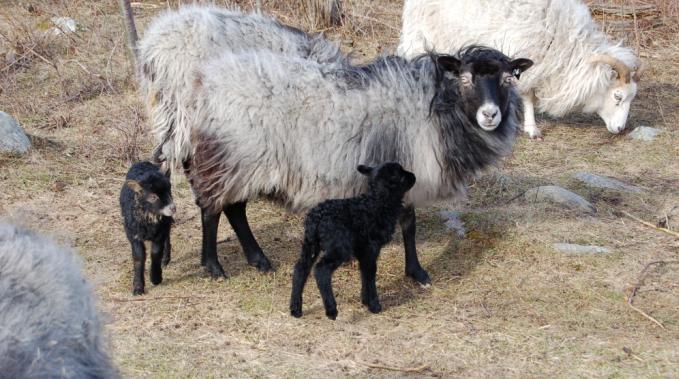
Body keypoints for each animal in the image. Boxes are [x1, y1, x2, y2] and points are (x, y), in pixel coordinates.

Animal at [121, 162, 177, 296]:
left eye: (169, 190)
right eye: (153, 197)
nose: (172, 208)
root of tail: (143, 162)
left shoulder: (159, 233)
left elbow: (156, 253)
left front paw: (156, 278)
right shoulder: (134, 234)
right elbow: (138, 257)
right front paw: (138, 288)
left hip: (165, 224)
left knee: (167, 237)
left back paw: (165, 260)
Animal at [183, 46, 532, 284]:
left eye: (506, 79)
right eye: (465, 79)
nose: (490, 115)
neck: (436, 109)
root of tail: (205, 83)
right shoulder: (404, 169)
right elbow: (409, 223)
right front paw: (417, 272)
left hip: (242, 162)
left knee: (235, 209)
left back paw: (259, 260)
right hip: (232, 157)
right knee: (212, 209)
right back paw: (214, 266)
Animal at [290, 162, 418, 320]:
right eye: (400, 175)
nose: (414, 176)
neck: (378, 204)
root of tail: (316, 219)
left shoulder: (363, 250)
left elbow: (364, 272)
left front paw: (365, 300)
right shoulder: (371, 247)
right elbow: (370, 273)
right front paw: (374, 305)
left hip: (310, 244)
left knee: (300, 269)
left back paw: (295, 309)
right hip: (339, 246)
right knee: (321, 271)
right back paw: (331, 310)